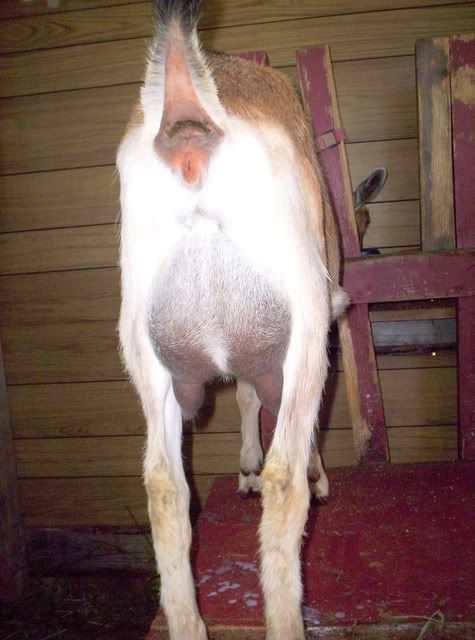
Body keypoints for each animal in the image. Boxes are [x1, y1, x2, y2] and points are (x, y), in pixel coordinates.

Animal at [117, 1, 350, 638]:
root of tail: (188, 114)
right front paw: (289, 471)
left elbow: (244, 392)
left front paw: (243, 465)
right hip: (304, 316)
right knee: (284, 478)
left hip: (142, 340)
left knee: (165, 488)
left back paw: (188, 622)